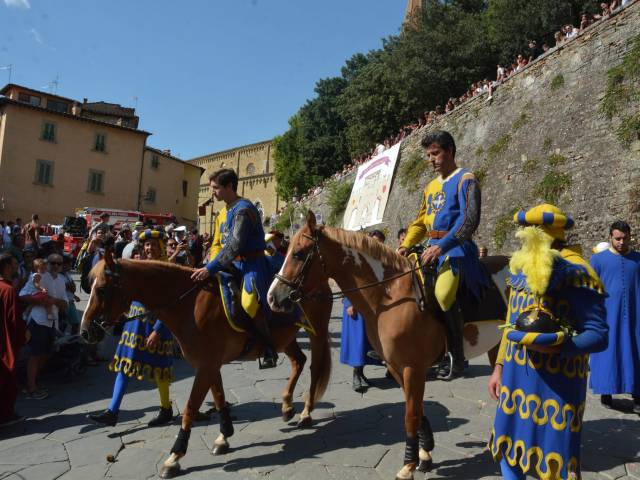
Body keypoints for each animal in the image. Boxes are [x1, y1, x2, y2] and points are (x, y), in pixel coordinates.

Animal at [80, 253, 332, 478]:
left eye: (101, 289)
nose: (85, 331)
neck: (189, 304)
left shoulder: (205, 366)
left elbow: (190, 408)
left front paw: (174, 457)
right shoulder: (210, 365)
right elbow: (219, 398)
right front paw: (224, 436)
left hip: (316, 333)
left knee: (315, 368)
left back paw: (306, 413)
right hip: (286, 339)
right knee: (299, 361)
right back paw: (288, 406)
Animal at [268, 213, 502, 480]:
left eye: (298, 253)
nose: (272, 298)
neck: (390, 296)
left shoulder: (413, 368)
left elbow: (410, 416)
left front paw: (408, 465)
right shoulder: (398, 367)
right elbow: (417, 410)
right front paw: (424, 454)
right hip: (497, 349)